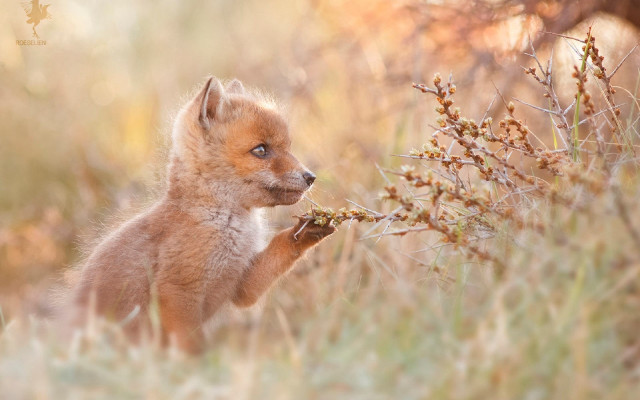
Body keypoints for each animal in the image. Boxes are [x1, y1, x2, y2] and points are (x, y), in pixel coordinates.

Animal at [72, 77, 335, 354]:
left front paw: (310, 229)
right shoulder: (178, 291)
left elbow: (281, 246)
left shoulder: (240, 284)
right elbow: (193, 346)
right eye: (261, 150)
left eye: (288, 147)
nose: (310, 177)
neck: (227, 227)